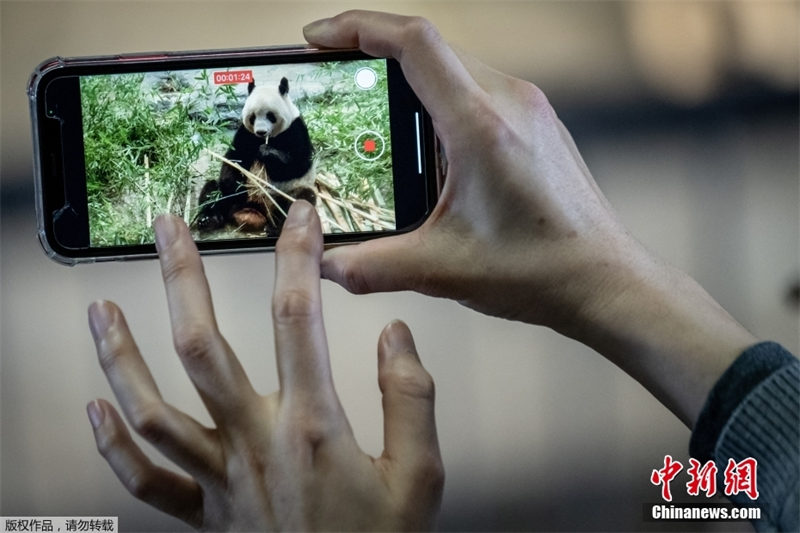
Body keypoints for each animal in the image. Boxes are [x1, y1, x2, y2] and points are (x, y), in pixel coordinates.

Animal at [196, 76, 316, 234]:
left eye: (270, 116)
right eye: (252, 117)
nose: (261, 132)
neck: (268, 138)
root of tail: (253, 210)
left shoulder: (296, 129)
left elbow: (299, 163)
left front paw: (266, 152)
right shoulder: (246, 133)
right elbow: (234, 159)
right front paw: (234, 185)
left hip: (285, 195)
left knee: (300, 199)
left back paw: (278, 228)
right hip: (233, 201)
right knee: (213, 190)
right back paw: (209, 219)